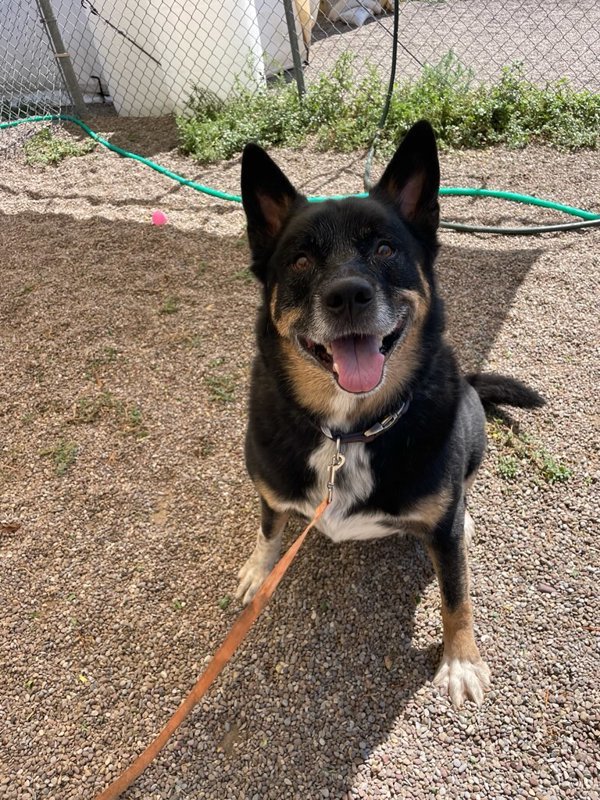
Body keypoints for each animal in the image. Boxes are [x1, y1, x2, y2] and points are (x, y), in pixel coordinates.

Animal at [234, 120, 544, 708]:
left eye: (384, 248)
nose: (347, 295)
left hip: (471, 433)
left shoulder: (444, 540)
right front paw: (260, 569)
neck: (348, 432)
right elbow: (269, 524)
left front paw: (461, 659)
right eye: (301, 260)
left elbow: (456, 592)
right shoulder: (269, 486)